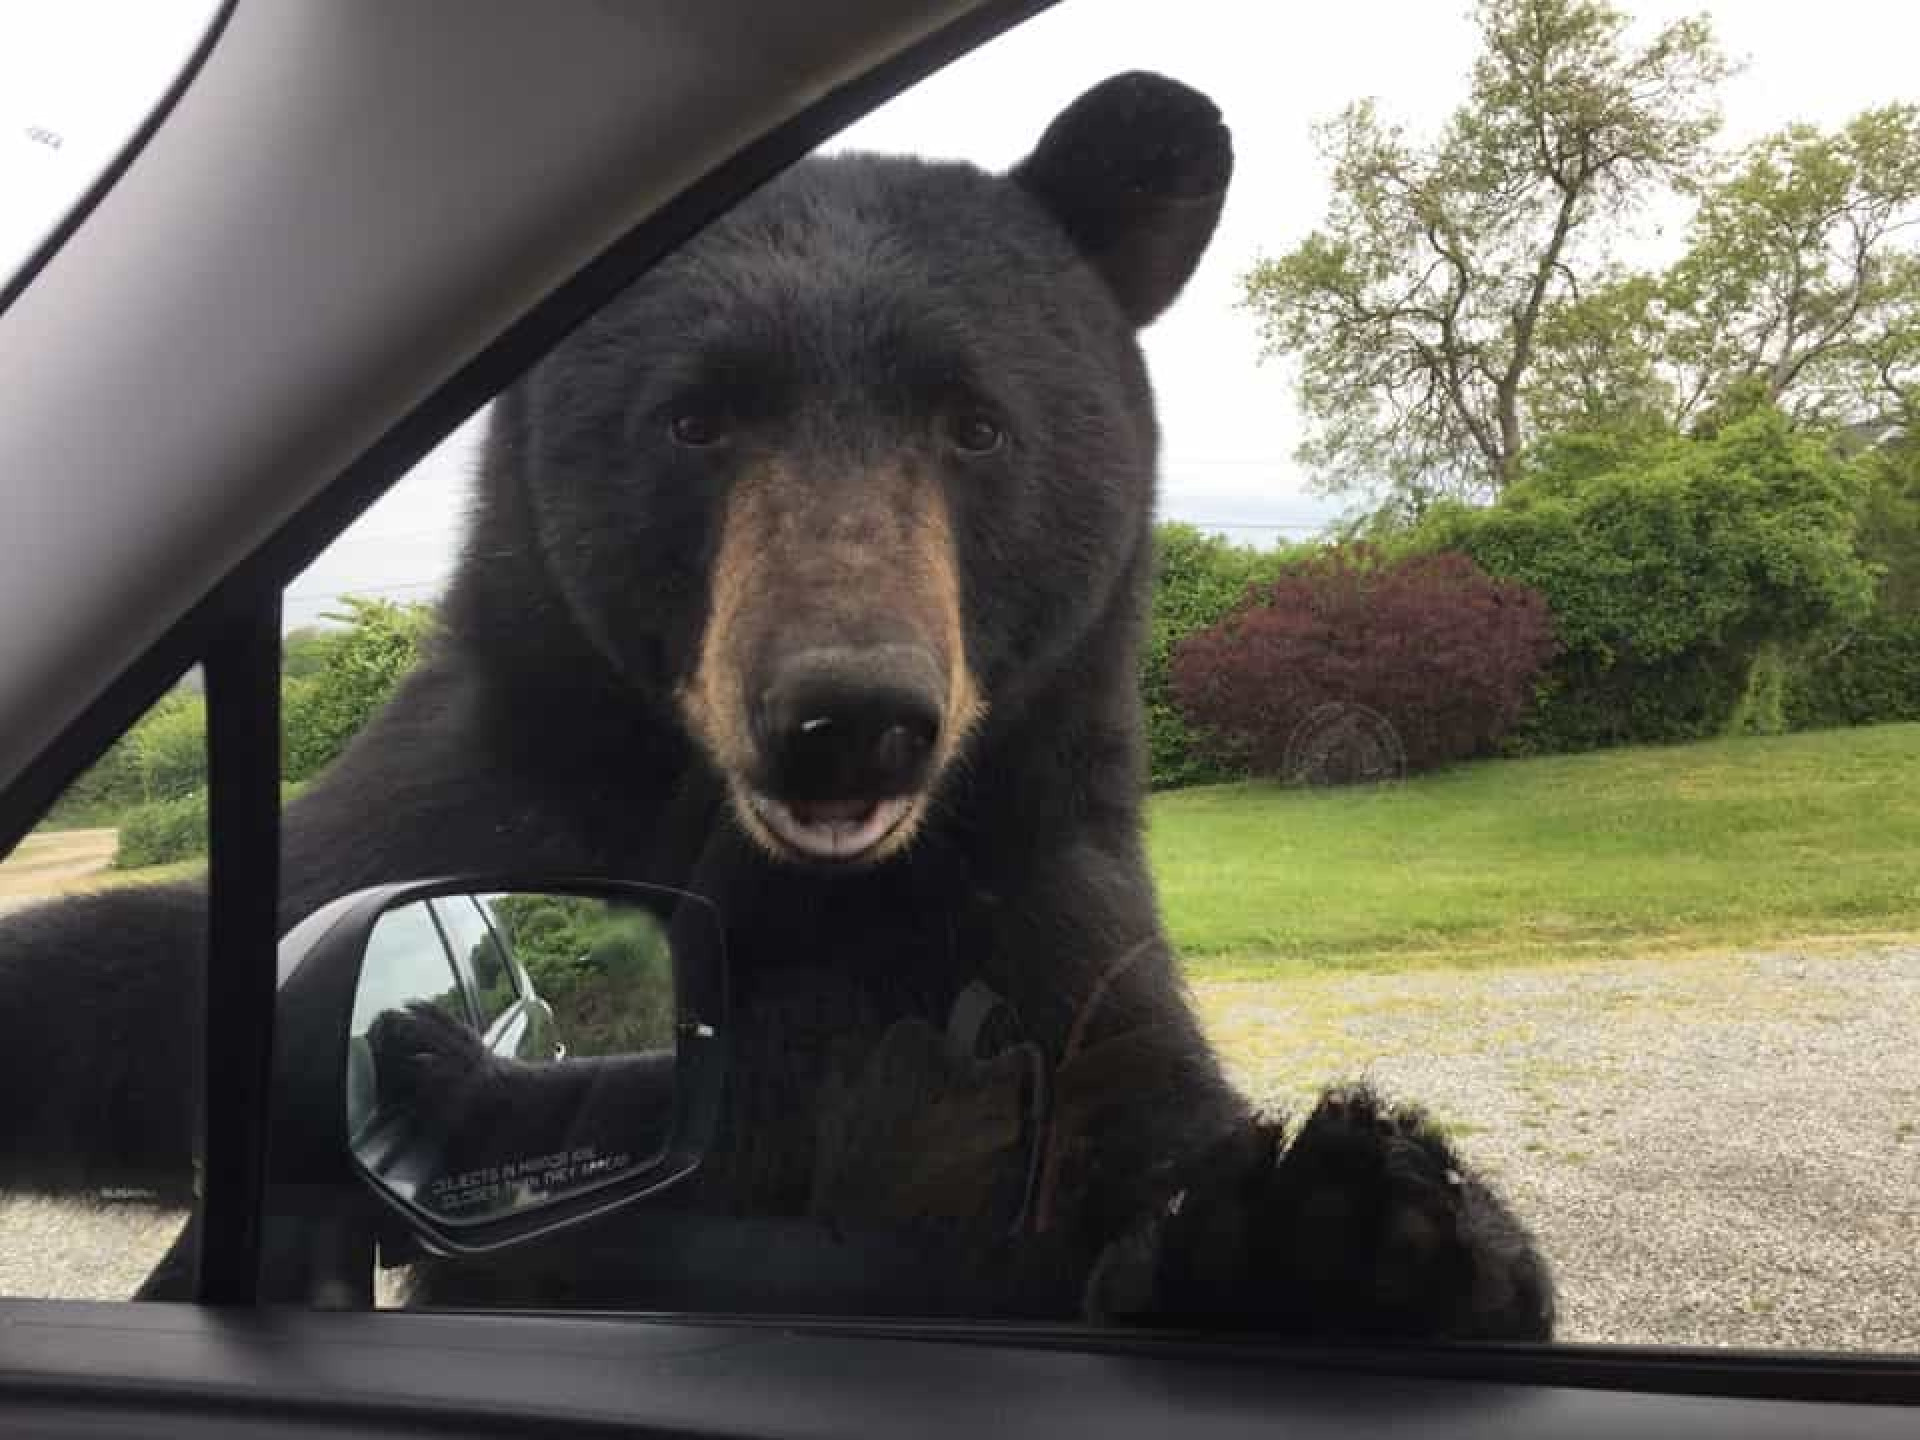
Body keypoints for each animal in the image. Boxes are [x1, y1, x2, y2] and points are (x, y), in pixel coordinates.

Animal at [0, 70, 1551, 1344]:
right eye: (696, 418)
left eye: (976, 424)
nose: (847, 713)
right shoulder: (455, 804)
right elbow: (179, 985)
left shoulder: (1035, 907)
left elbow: (1124, 1117)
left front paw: (1347, 1229)